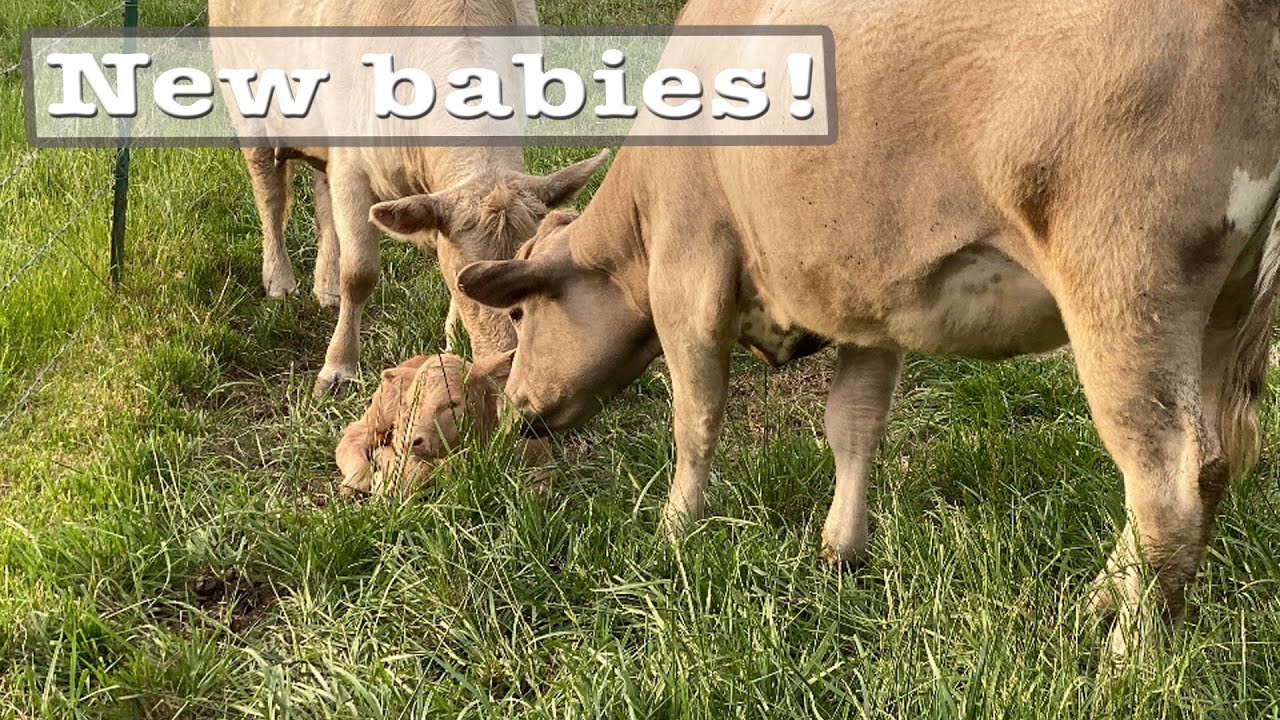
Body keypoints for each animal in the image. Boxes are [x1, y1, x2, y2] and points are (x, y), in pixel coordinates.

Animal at [207, 0, 609, 394]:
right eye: (465, 281)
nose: (509, 365)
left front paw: (453, 336)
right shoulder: (352, 169)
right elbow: (359, 272)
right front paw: (338, 367)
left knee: (323, 201)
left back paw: (327, 287)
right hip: (246, 107)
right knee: (270, 196)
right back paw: (279, 280)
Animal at [438, 0, 1280, 654]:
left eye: (520, 311)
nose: (517, 411)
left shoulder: (690, 272)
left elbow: (696, 418)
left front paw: (674, 531)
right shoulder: (868, 302)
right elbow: (853, 425)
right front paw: (840, 551)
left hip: (1126, 284)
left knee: (1170, 482)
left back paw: (1126, 660)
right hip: (1224, 303)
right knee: (1213, 461)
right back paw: (1102, 598)